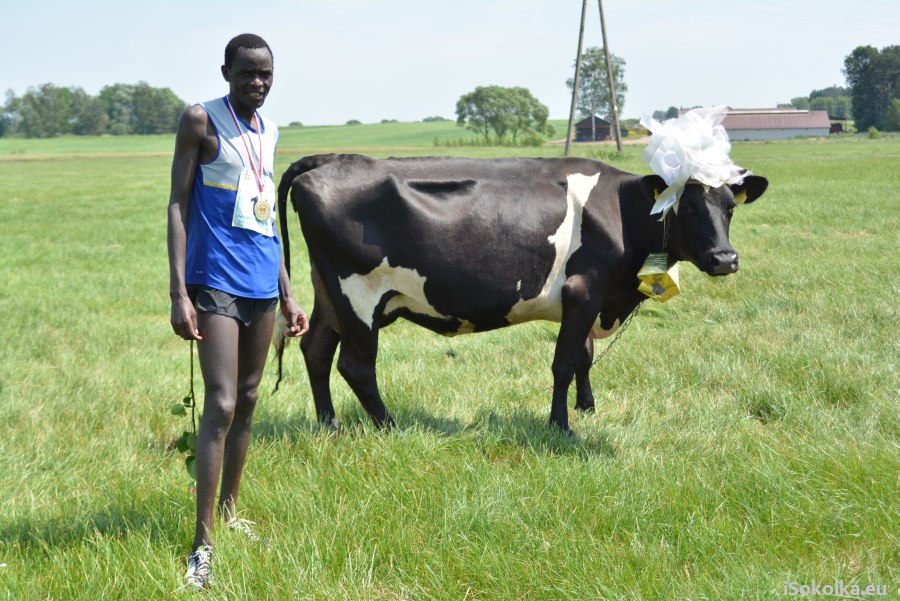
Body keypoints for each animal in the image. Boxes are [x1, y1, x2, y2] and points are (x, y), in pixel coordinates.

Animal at [276, 155, 768, 432]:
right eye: (686, 206)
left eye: (729, 207)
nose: (725, 258)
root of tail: (324, 162)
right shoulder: (584, 290)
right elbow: (565, 362)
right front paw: (561, 426)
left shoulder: (587, 298)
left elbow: (585, 356)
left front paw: (587, 408)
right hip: (358, 296)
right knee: (356, 366)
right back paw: (388, 426)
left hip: (329, 294)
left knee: (316, 351)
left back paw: (329, 424)